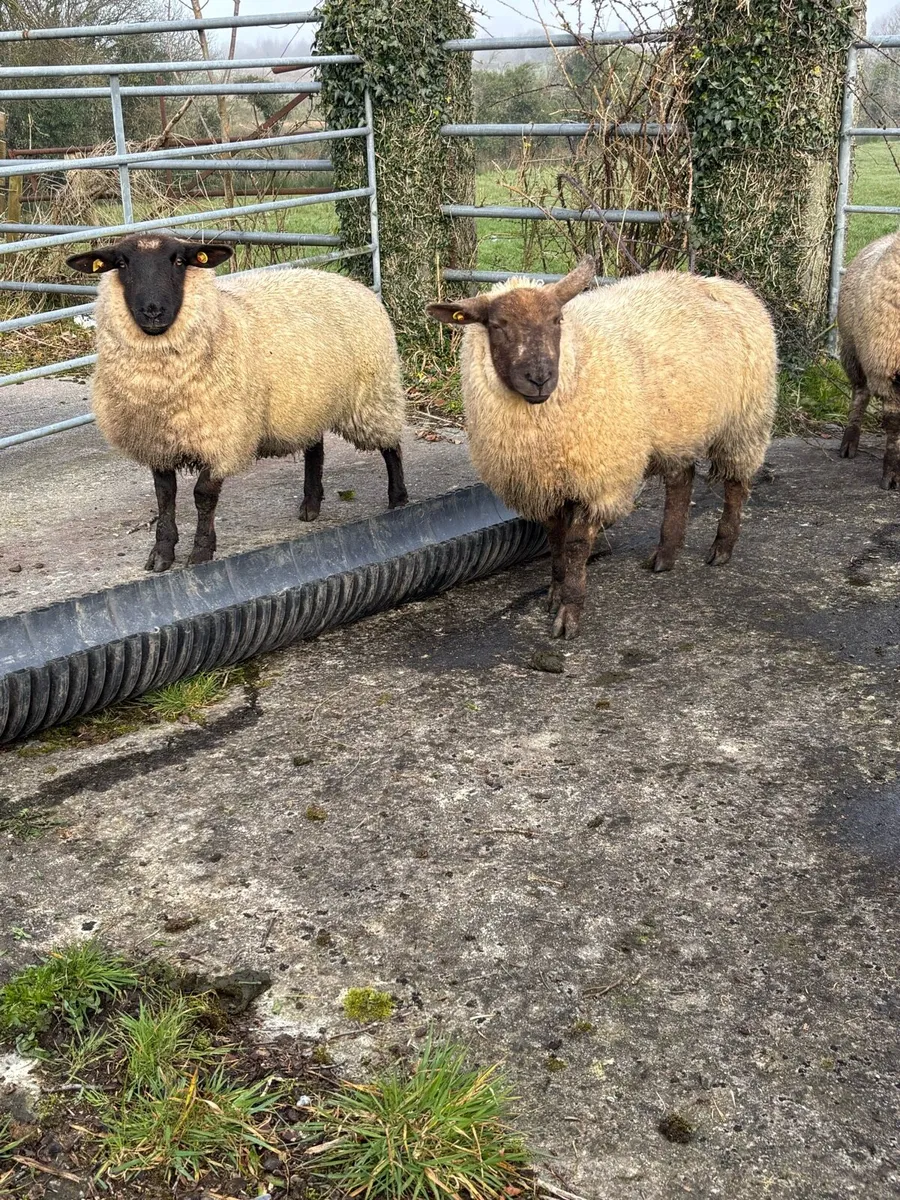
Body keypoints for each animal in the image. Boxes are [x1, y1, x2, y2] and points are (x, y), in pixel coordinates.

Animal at [67, 233, 407, 572]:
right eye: (122, 264)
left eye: (179, 261)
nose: (153, 311)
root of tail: (350, 282)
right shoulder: (157, 441)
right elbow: (165, 496)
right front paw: (162, 552)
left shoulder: (224, 434)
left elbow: (203, 495)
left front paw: (202, 551)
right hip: (307, 401)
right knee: (315, 447)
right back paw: (311, 504)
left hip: (373, 395)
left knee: (391, 445)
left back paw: (398, 499)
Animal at [427, 257, 777, 639]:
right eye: (497, 325)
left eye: (557, 320)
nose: (540, 378)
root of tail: (727, 285)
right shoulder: (545, 482)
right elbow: (555, 538)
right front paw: (555, 590)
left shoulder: (597, 479)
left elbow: (577, 545)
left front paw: (569, 612)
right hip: (679, 427)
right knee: (681, 480)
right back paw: (665, 556)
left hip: (745, 420)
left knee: (736, 484)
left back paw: (722, 548)